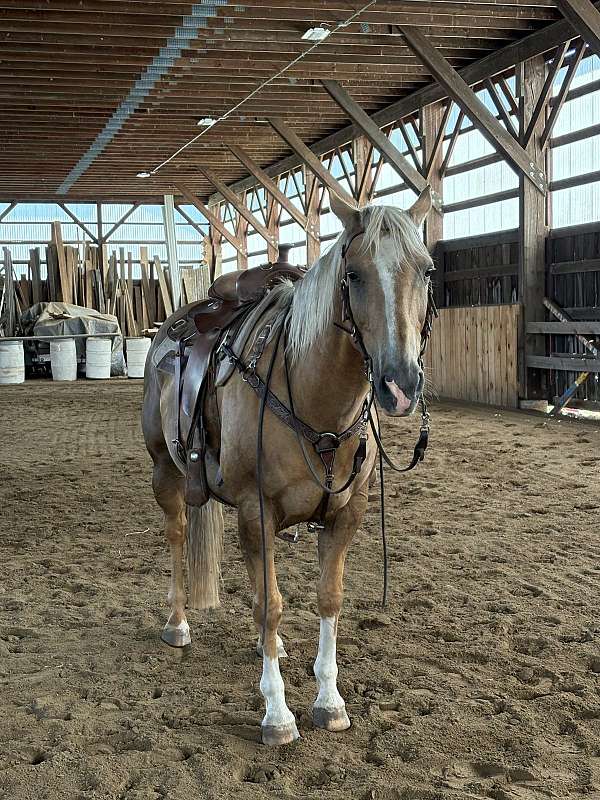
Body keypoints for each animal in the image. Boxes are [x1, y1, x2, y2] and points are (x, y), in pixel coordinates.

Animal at [142, 187, 434, 746]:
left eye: (426, 270)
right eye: (354, 274)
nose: (400, 384)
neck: (316, 401)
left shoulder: (346, 515)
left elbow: (328, 597)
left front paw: (329, 700)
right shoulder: (256, 512)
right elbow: (270, 603)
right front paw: (277, 714)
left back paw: (266, 645)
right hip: (165, 471)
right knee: (176, 535)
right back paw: (177, 622)